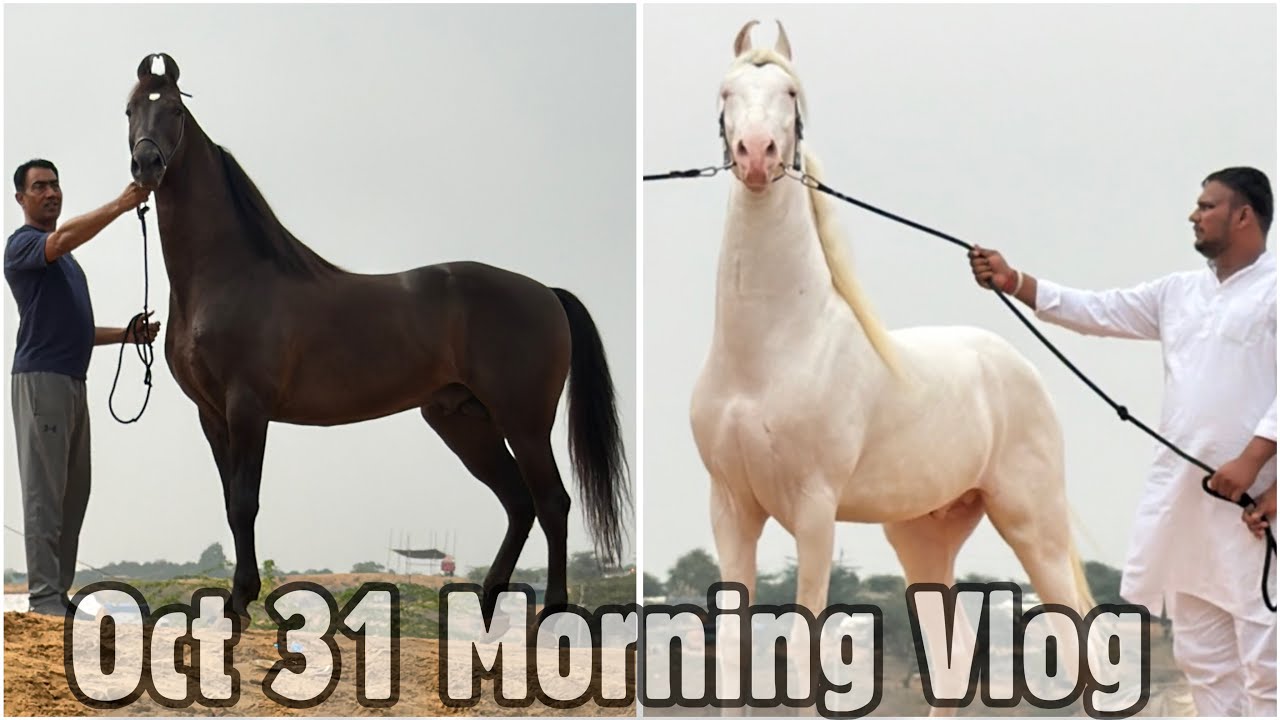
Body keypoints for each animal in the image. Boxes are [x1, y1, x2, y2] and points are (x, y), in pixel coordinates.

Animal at [124, 53, 630, 622]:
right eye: (129, 110)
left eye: (173, 110)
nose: (146, 164)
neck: (227, 276)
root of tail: (546, 292)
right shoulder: (210, 413)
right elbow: (231, 502)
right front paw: (237, 602)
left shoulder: (247, 407)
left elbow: (245, 501)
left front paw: (240, 601)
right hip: (462, 421)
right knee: (519, 503)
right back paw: (485, 606)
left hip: (523, 421)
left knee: (552, 502)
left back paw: (553, 613)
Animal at [688, 22, 1097, 709]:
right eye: (725, 91)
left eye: (790, 92)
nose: (756, 154)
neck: (770, 353)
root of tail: (1018, 365)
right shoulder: (731, 509)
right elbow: (731, 659)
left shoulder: (814, 509)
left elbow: (802, 651)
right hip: (922, 536)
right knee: (954, 661)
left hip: (1031, 522)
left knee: (1076, 649)